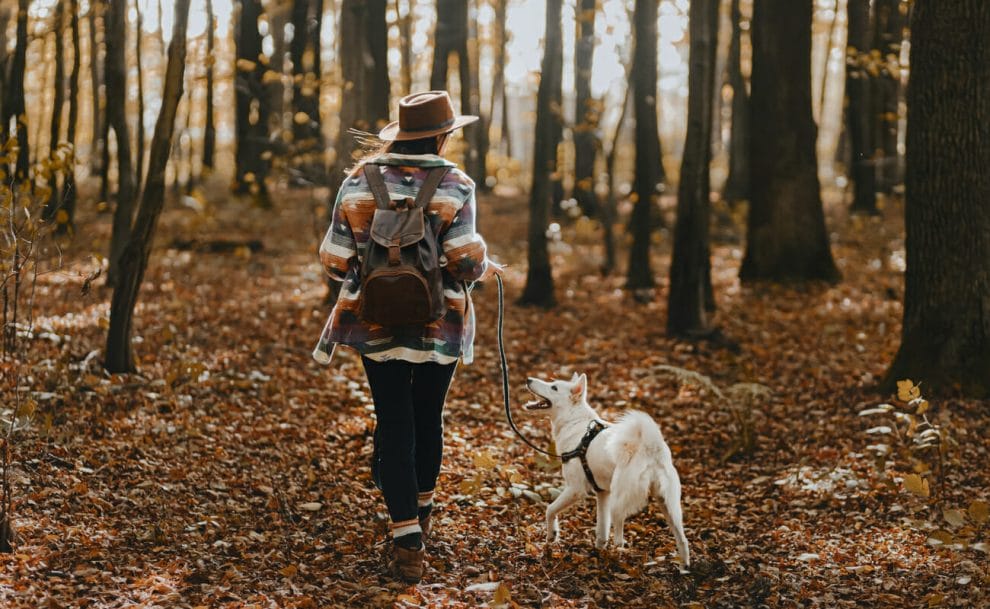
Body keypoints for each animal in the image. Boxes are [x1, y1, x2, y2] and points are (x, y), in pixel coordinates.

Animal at [528, 372, 688, 568]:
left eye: (554, 387)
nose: (528, 380)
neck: (575, 422)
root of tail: (652, 448)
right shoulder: (603, 493)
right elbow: (602, 530)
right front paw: (598, 552)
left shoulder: (575, 490)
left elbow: (550, 509)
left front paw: (552, 535)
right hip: (667, 503)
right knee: (683, 539)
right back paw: (684, 567)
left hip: (620, 498)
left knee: (620, 534)